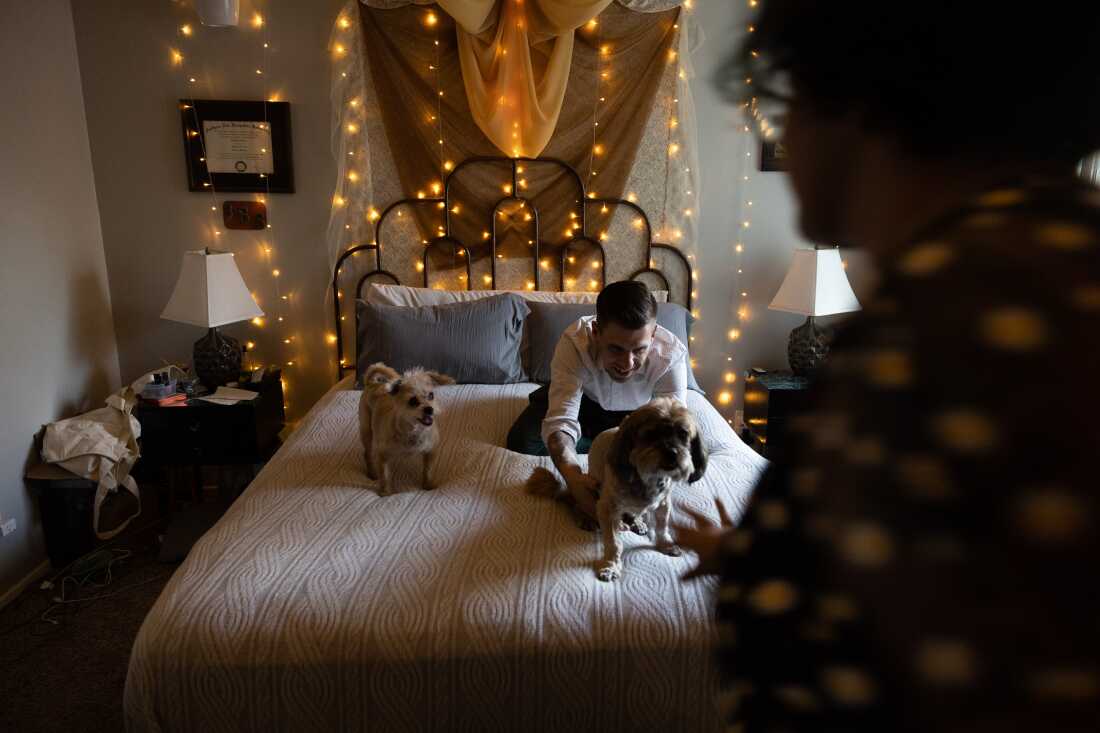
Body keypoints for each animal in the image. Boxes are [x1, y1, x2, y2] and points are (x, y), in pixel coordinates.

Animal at [356, 363, 451, 493]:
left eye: (431, 395)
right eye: (413, 401)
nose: (429, 409)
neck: (413, 431)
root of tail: (372, 383)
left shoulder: (431, 451)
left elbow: (428, 471)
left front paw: (429, 486)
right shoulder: (382, 454)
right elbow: (384, 476)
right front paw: (385, 493)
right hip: (366, 431)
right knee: (367, 454)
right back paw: (372, 473)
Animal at [528, 396, 708, 581]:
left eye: (683, 434)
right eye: (650, 434)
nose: (672, 453)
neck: (646, 478)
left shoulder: (664, 504)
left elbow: (662, 528)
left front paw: (666, 544)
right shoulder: (607, 508)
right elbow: (614, 543)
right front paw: (611, 566)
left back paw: (637, 522)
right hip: (589, 490)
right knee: (577, 504)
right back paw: (590, 519)